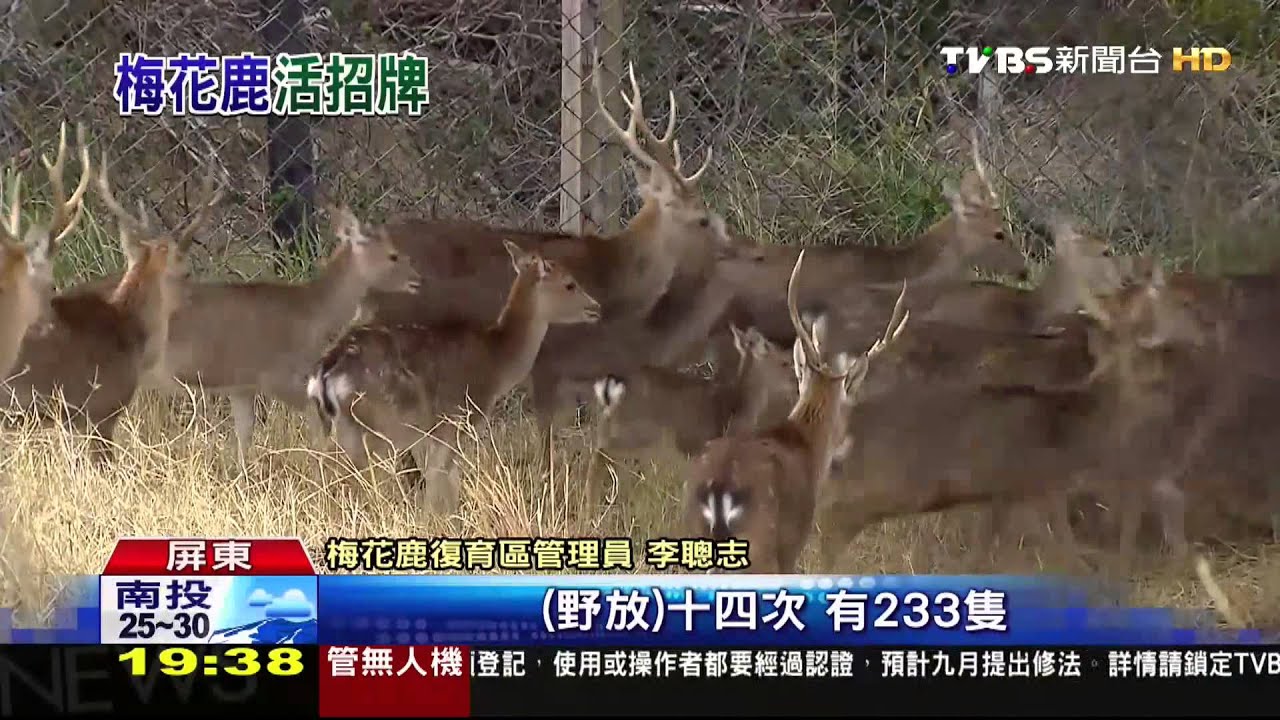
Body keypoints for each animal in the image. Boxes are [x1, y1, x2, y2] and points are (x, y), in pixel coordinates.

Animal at [307, 240, 601, 514]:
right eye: (570, 284)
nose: (596, 307)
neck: (497, 364)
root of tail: (326, 370)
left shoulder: (437, 430)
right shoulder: (460, 419)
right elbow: (442, 478)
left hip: (339, 425)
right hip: (377, 423)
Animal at [583, 324, 799, 506]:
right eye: (785, 362)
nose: (797, 384)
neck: (739, 405)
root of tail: (611, 387)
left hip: (616, 423)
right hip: (639, 429)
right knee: (601, 453)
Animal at [682, 250, 910, 574]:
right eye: (849, 406)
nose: (846, 442)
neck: (807, 445)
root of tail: (718, 489)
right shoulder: (793, 542)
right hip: (761, 545)